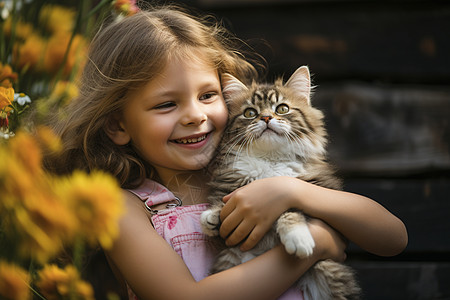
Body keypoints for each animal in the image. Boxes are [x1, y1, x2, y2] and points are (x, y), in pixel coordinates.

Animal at [200, 66, 362, 300]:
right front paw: (212, 217)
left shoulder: (318, 190)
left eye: (282, 109)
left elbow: (290, 210)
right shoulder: (229, 183)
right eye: (250, 113)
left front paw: (298, 238)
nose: (266, 117)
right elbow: (222, 203)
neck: (270, 160)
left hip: (327, 270)